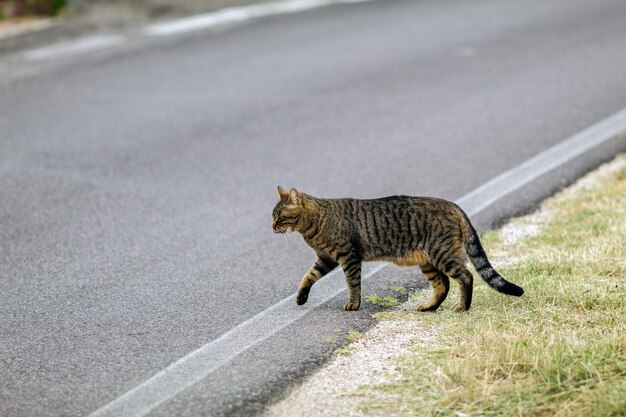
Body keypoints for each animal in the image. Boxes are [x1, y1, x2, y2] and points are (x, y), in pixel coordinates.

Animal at [272, 187, 520, 310]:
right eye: (273, 216)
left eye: (280, 217)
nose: (272, 227)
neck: (314, 223)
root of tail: (452, 204)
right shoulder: (325, 259)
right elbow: (308, 276)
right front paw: (301, 298)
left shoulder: (348, 257)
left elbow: (353, 284)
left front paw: (354, 304)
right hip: (428, 261)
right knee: (443, 284)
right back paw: (429, 307)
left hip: (442, 255)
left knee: (466, 277)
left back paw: (462, 307)